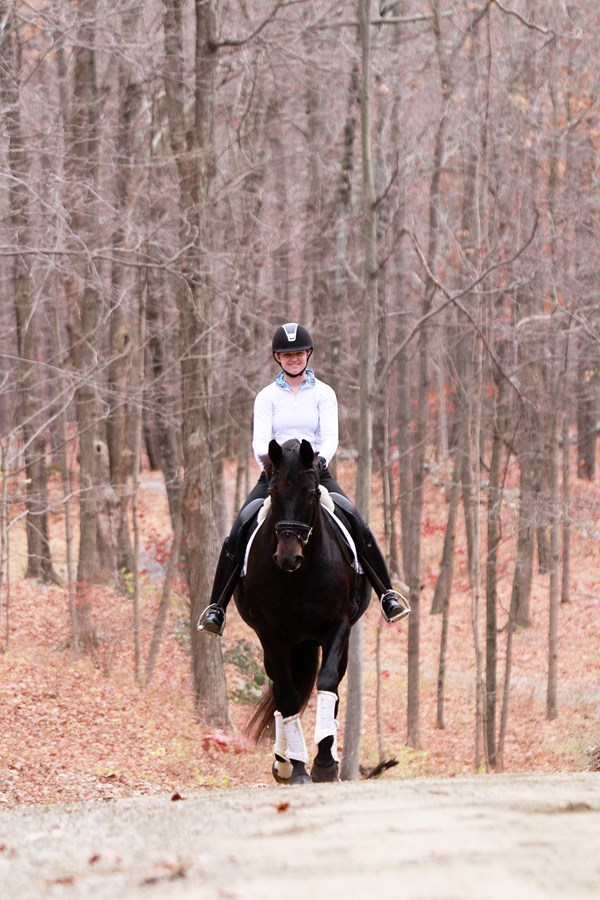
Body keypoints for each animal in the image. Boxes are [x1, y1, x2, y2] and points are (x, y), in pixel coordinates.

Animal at [234, 437, 371, 785]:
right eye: (273, 492)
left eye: (310, 493)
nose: (288, 556)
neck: (301, 576)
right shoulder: (271, 633)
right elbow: (288, 695)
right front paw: (294, 768)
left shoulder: (338, 624)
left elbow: (327, 681)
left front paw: (324, 764)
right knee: (282, 689)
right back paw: (284, 761)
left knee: (332, 685)